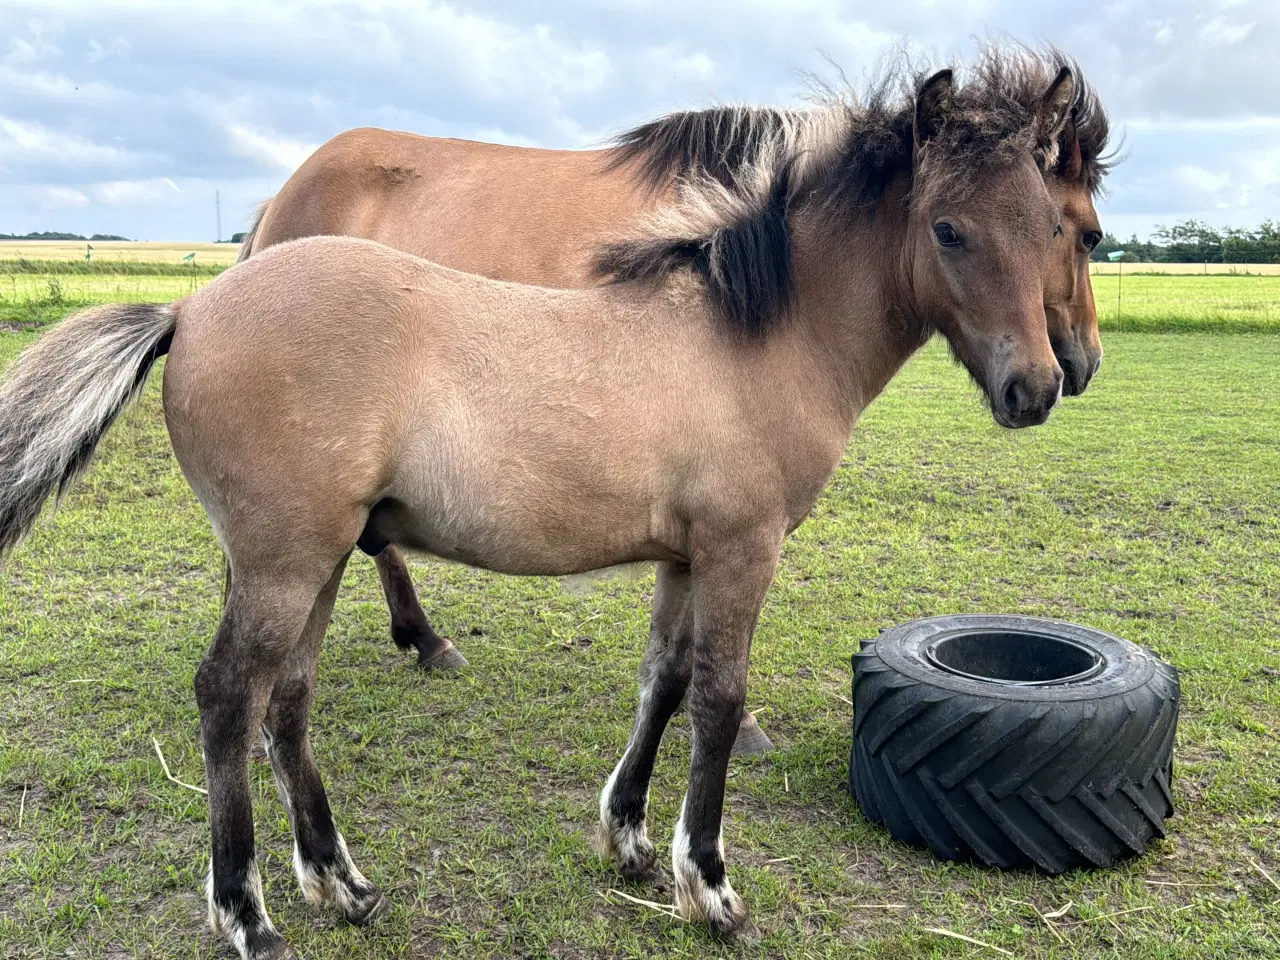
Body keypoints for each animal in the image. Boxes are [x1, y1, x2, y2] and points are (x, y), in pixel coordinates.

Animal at [240, 50, 1111, 737]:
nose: (1060, 374)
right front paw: (742, 724)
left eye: (1050, 226)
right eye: (1086, 233)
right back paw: (422, 637)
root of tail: (288, 189)